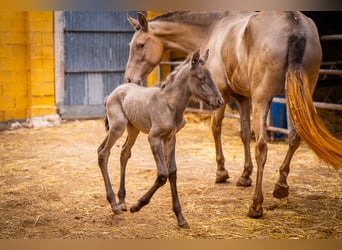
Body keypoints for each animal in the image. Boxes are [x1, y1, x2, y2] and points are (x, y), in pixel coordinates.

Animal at [125, 10, 342, 218]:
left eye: (140, 45)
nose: (129, 79)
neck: (213, 28)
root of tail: (295, 24)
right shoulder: (243, 98)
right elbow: (244, 133)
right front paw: (245, 175)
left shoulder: (221, 94)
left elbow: (216, 128)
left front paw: (221, 172)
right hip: (296, 96)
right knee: (294, 138)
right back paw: (281, 185)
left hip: (262, 100)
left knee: (262, 147)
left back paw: (256, 205)